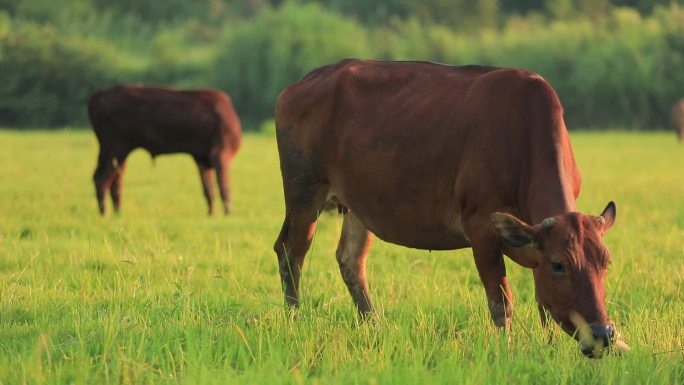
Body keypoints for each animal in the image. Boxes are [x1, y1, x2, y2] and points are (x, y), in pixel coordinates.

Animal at [88, 85, 242, 214]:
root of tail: (98, 96)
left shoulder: (202, 158)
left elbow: (209, 190)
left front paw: (211, 214)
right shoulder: (220, 153)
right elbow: (224, 187)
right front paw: (228, 214)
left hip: (119, 152)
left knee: (114, 181)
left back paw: (118, 213)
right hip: (114, 148)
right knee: (101, 178)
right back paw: (105, 213)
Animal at [272, 58, 620, 356]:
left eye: (606, 261)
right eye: (560, 265)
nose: (602, 333)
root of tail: (300, 83)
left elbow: (542, 301)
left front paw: (549, 348)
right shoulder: (481, 227)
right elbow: (501, 302)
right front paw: (506, 351)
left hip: (358, 204)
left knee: (350, 260)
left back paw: (375, 326)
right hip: (304, 190)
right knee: (290, 251)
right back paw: (294, 322)